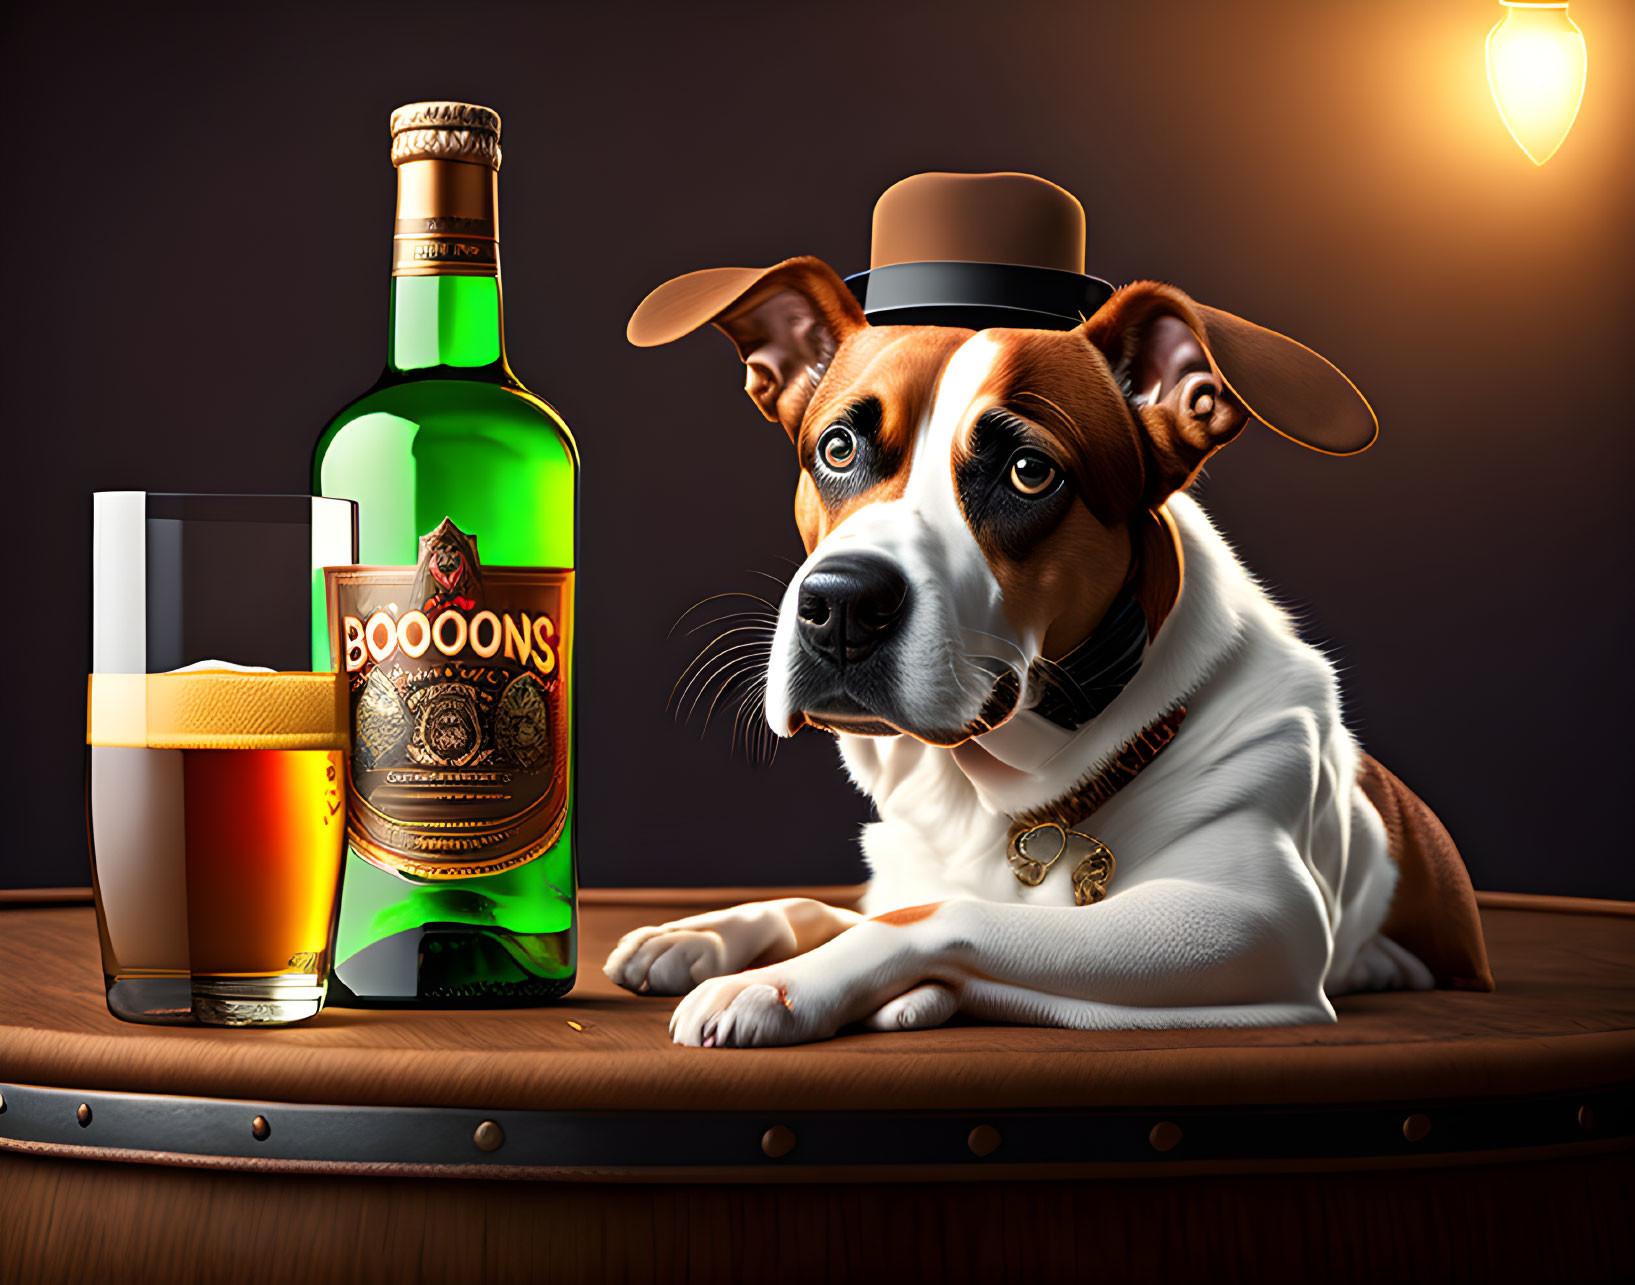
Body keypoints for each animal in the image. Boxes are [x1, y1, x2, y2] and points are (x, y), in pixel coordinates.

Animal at [608, 217, 1491, 1052]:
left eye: (1029, 471)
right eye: (836, 446)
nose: (841, 605)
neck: (997, 792)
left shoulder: (1245, 922)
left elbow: (941, 915)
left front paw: (782, 984)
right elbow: (840, 904)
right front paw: (705, 932)